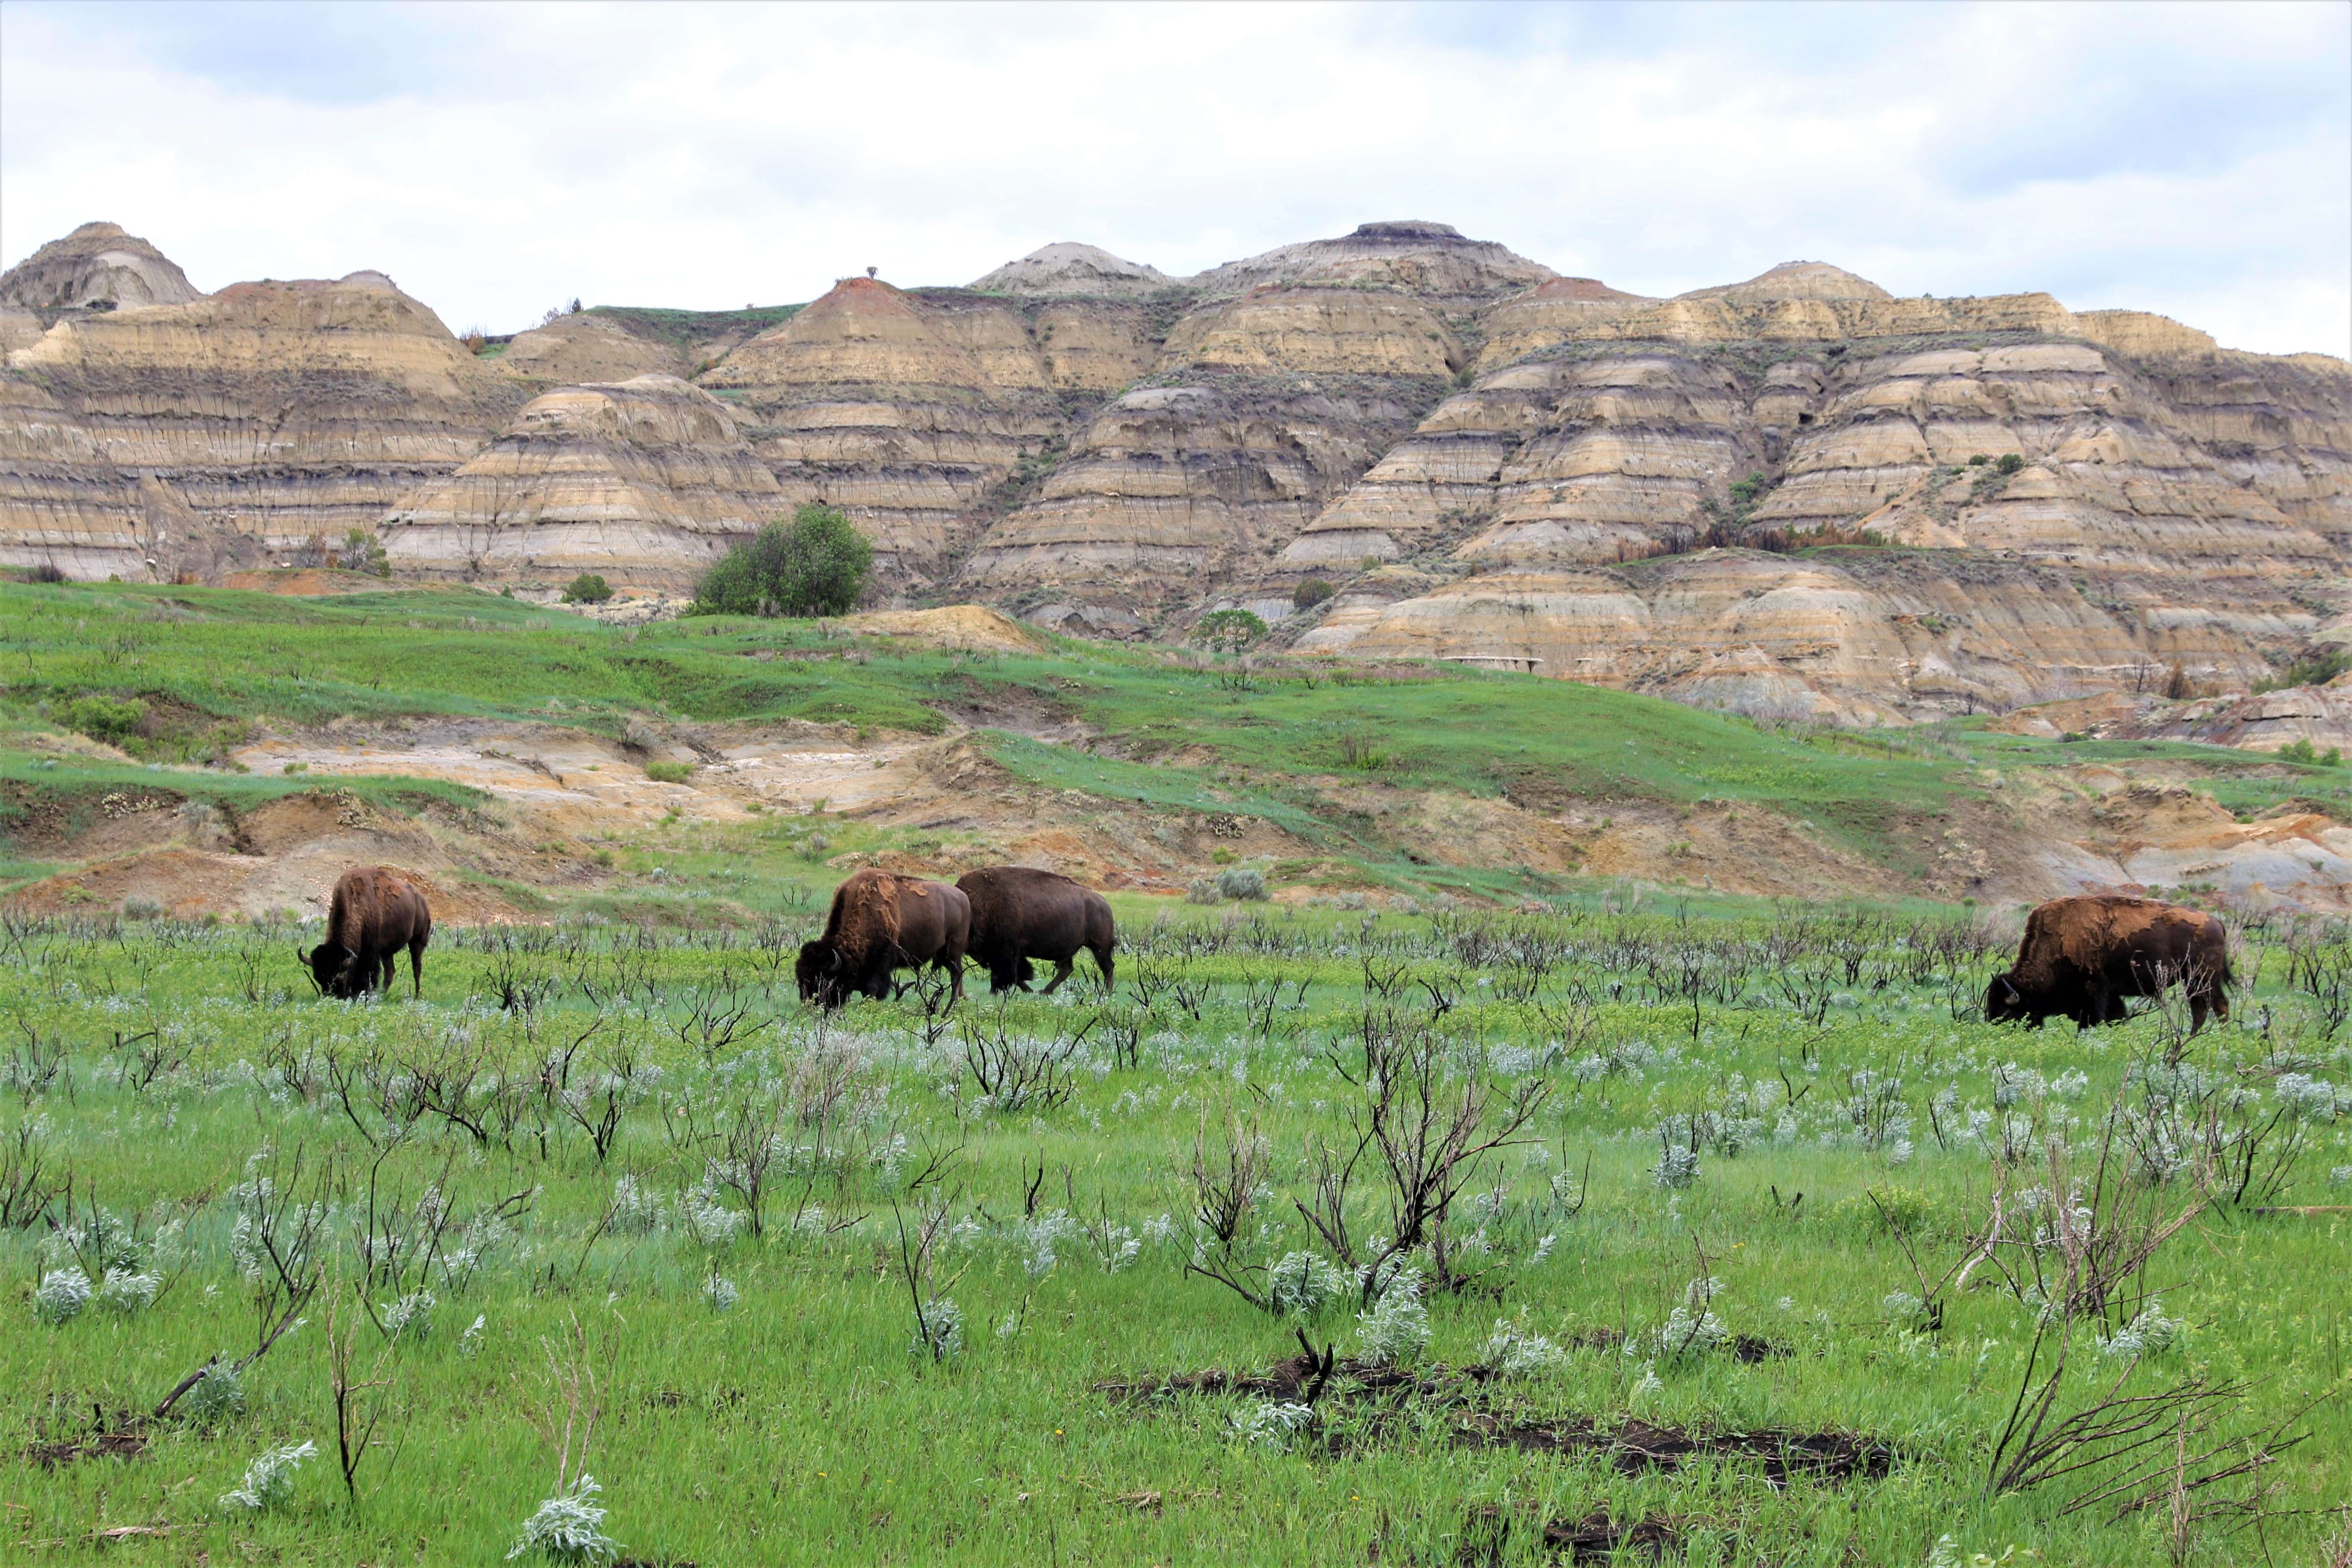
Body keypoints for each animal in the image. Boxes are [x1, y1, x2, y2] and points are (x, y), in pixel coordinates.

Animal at [303, 865, 432, 1001]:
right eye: (318, 978)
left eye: (340, 977)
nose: (335, 997)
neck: (357, 905)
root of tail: (422, 899)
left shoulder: (371, 952)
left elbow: (370, 974)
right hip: (387, 952)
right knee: (390, 972)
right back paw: (382, 995)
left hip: (417, 941)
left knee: (416, 968)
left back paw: (417, 995)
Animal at [795, 865, 969, 1011]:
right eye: (801, 976)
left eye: (823, 978)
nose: (808, 1004)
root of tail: (963, 897)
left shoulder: (881, 962)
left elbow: (873, 988)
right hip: (943, 955)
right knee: (957, 975)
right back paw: (961, 1000)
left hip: (953, 951)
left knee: (956, 974)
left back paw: (955, 1002)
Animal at [955, 870, 1119, 992]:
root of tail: (1104, 903)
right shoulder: (996, 954)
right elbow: (1007, 975)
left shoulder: (1005, 952)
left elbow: (1008, 974)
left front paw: (1025, 990)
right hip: (1070, 950)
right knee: (1067, 969)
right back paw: (1045, 991)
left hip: (1099, 947)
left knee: (1108, 968)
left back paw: (1106, 993)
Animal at [1975, 893, 2230, 1029]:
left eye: (2006, 1013)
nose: (1995, 1033)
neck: (2056, 942)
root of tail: (2216, 921)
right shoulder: (2111, 996)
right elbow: (2116, 1017)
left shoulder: (2093, 992)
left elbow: (2091, 1022)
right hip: (2194, 982)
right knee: (2203, 1011)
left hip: (2203, 979)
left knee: (2218, 1007)